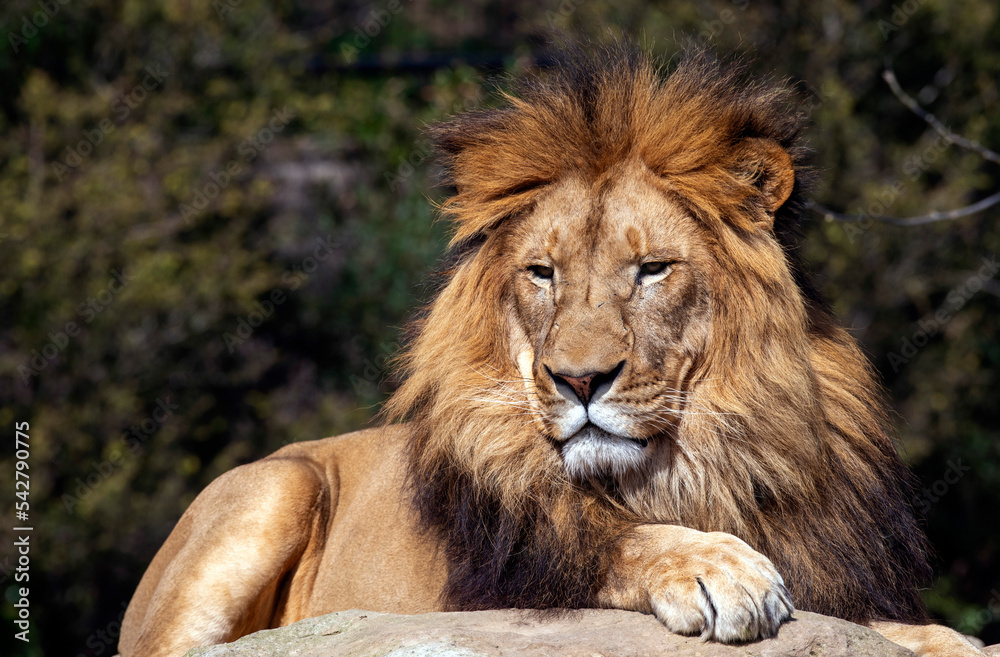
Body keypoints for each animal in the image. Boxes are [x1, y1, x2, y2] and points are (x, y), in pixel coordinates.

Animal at [119, 46, 984, 656]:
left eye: (652, 269)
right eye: (543, 273)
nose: (579, 379)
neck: (700, 466)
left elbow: (905, 629)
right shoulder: (507, 580)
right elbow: (614, 538)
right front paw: (717, 567)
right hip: (272, 488)